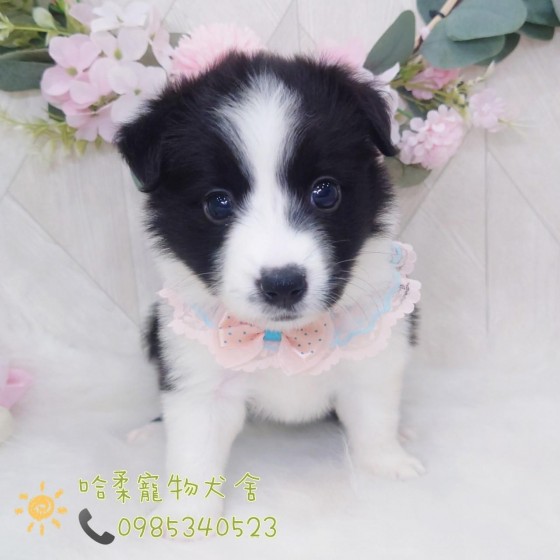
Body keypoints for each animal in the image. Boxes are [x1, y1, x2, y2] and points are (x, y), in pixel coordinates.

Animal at [117, 51, 424, 519]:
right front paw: (185, 518)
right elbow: (194, 454)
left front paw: (388, 466)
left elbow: (374, 419)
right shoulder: (198, 380)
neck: (284, 338)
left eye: (325, 192)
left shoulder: (374, 359)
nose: (283, 284)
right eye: (217, 203)